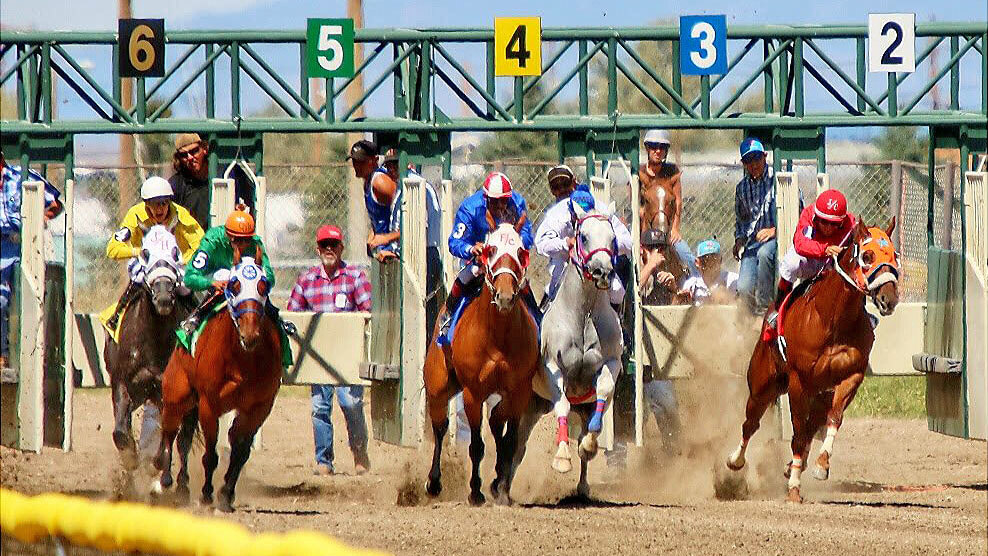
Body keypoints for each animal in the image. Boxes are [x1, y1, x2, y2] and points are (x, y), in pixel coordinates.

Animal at [105, 226, 188, 474]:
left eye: (175, 251)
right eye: (145, 252)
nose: (163, 297)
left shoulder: (166, 391)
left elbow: (167, 437)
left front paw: (156, 462)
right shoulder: (121, 382)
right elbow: (120, 433)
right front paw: (131, 459)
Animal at [152, 248, 282, 512]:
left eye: (263, 285)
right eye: (234, 284)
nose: (250, 333)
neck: (242, 359)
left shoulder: (258, 408)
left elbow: (240, 452)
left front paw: (225, 494)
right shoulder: (208, 404)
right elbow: (210, 455)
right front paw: (206, 495)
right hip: (177, 394)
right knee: (170, 431)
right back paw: (164, 479)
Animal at [420, 219, 536, 506]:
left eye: (520, 251)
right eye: (490, 250)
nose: (505, 296)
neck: (498, 337)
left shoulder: (520, 391)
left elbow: (510, 439)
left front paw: (501, 487)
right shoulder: (473, 393)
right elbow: (476, 446)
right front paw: (475, 491)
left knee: (496, 423)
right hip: (438, 386)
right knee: (440, 428)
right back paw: (434, 482)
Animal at [720, 218, 900, 504]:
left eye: (894, 256)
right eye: (867, 256)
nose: (888, 298)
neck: (832, 320)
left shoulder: (850, 378)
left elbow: (834, 420)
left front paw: (820, 465)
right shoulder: (798, 382)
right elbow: (796, 433)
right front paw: (794, 487)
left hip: (819, 395)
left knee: (811, 426)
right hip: (762, 385)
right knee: (751, 423)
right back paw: (735, 462)